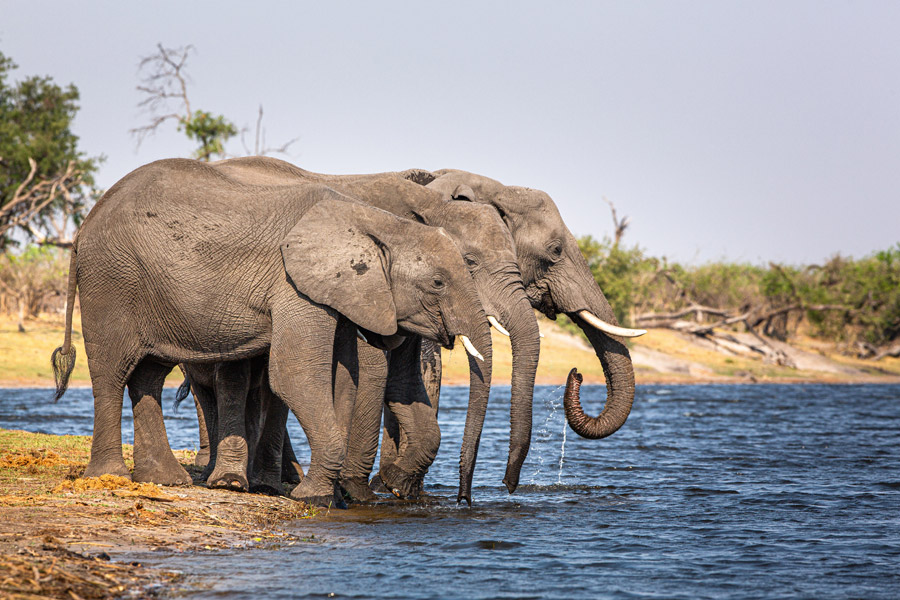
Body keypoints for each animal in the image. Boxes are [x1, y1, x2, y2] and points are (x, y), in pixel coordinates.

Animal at [50, 158, 496, 506]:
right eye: (438, 283)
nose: (464, 500)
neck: (374, 221)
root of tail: (84, 225)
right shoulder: (294, 286)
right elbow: (295, 375)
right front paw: (314, 496)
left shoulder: (338, 292)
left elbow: (344, 378)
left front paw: (330, 494)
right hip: (111, 281)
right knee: (112, 372)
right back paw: (110, 477)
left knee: (149, 375)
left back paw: (164, 479)